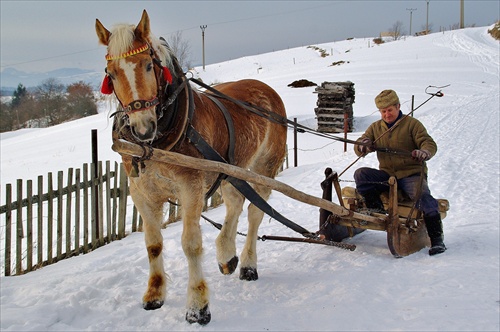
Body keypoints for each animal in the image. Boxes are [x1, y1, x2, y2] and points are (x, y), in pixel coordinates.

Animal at [95, 9, 288, 324]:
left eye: (148, 65)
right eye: (111, 74)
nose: (143, 127)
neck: (159, 142)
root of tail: (266, 89)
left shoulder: (191, 188)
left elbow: (190, 243)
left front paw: (198, 306)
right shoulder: (142, 193)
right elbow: (153, 244)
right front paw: (154, 294)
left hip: (264, 168)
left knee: (254, 212)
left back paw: (248, 265)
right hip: (230, 170)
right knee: (234, 204)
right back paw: (226, 254)